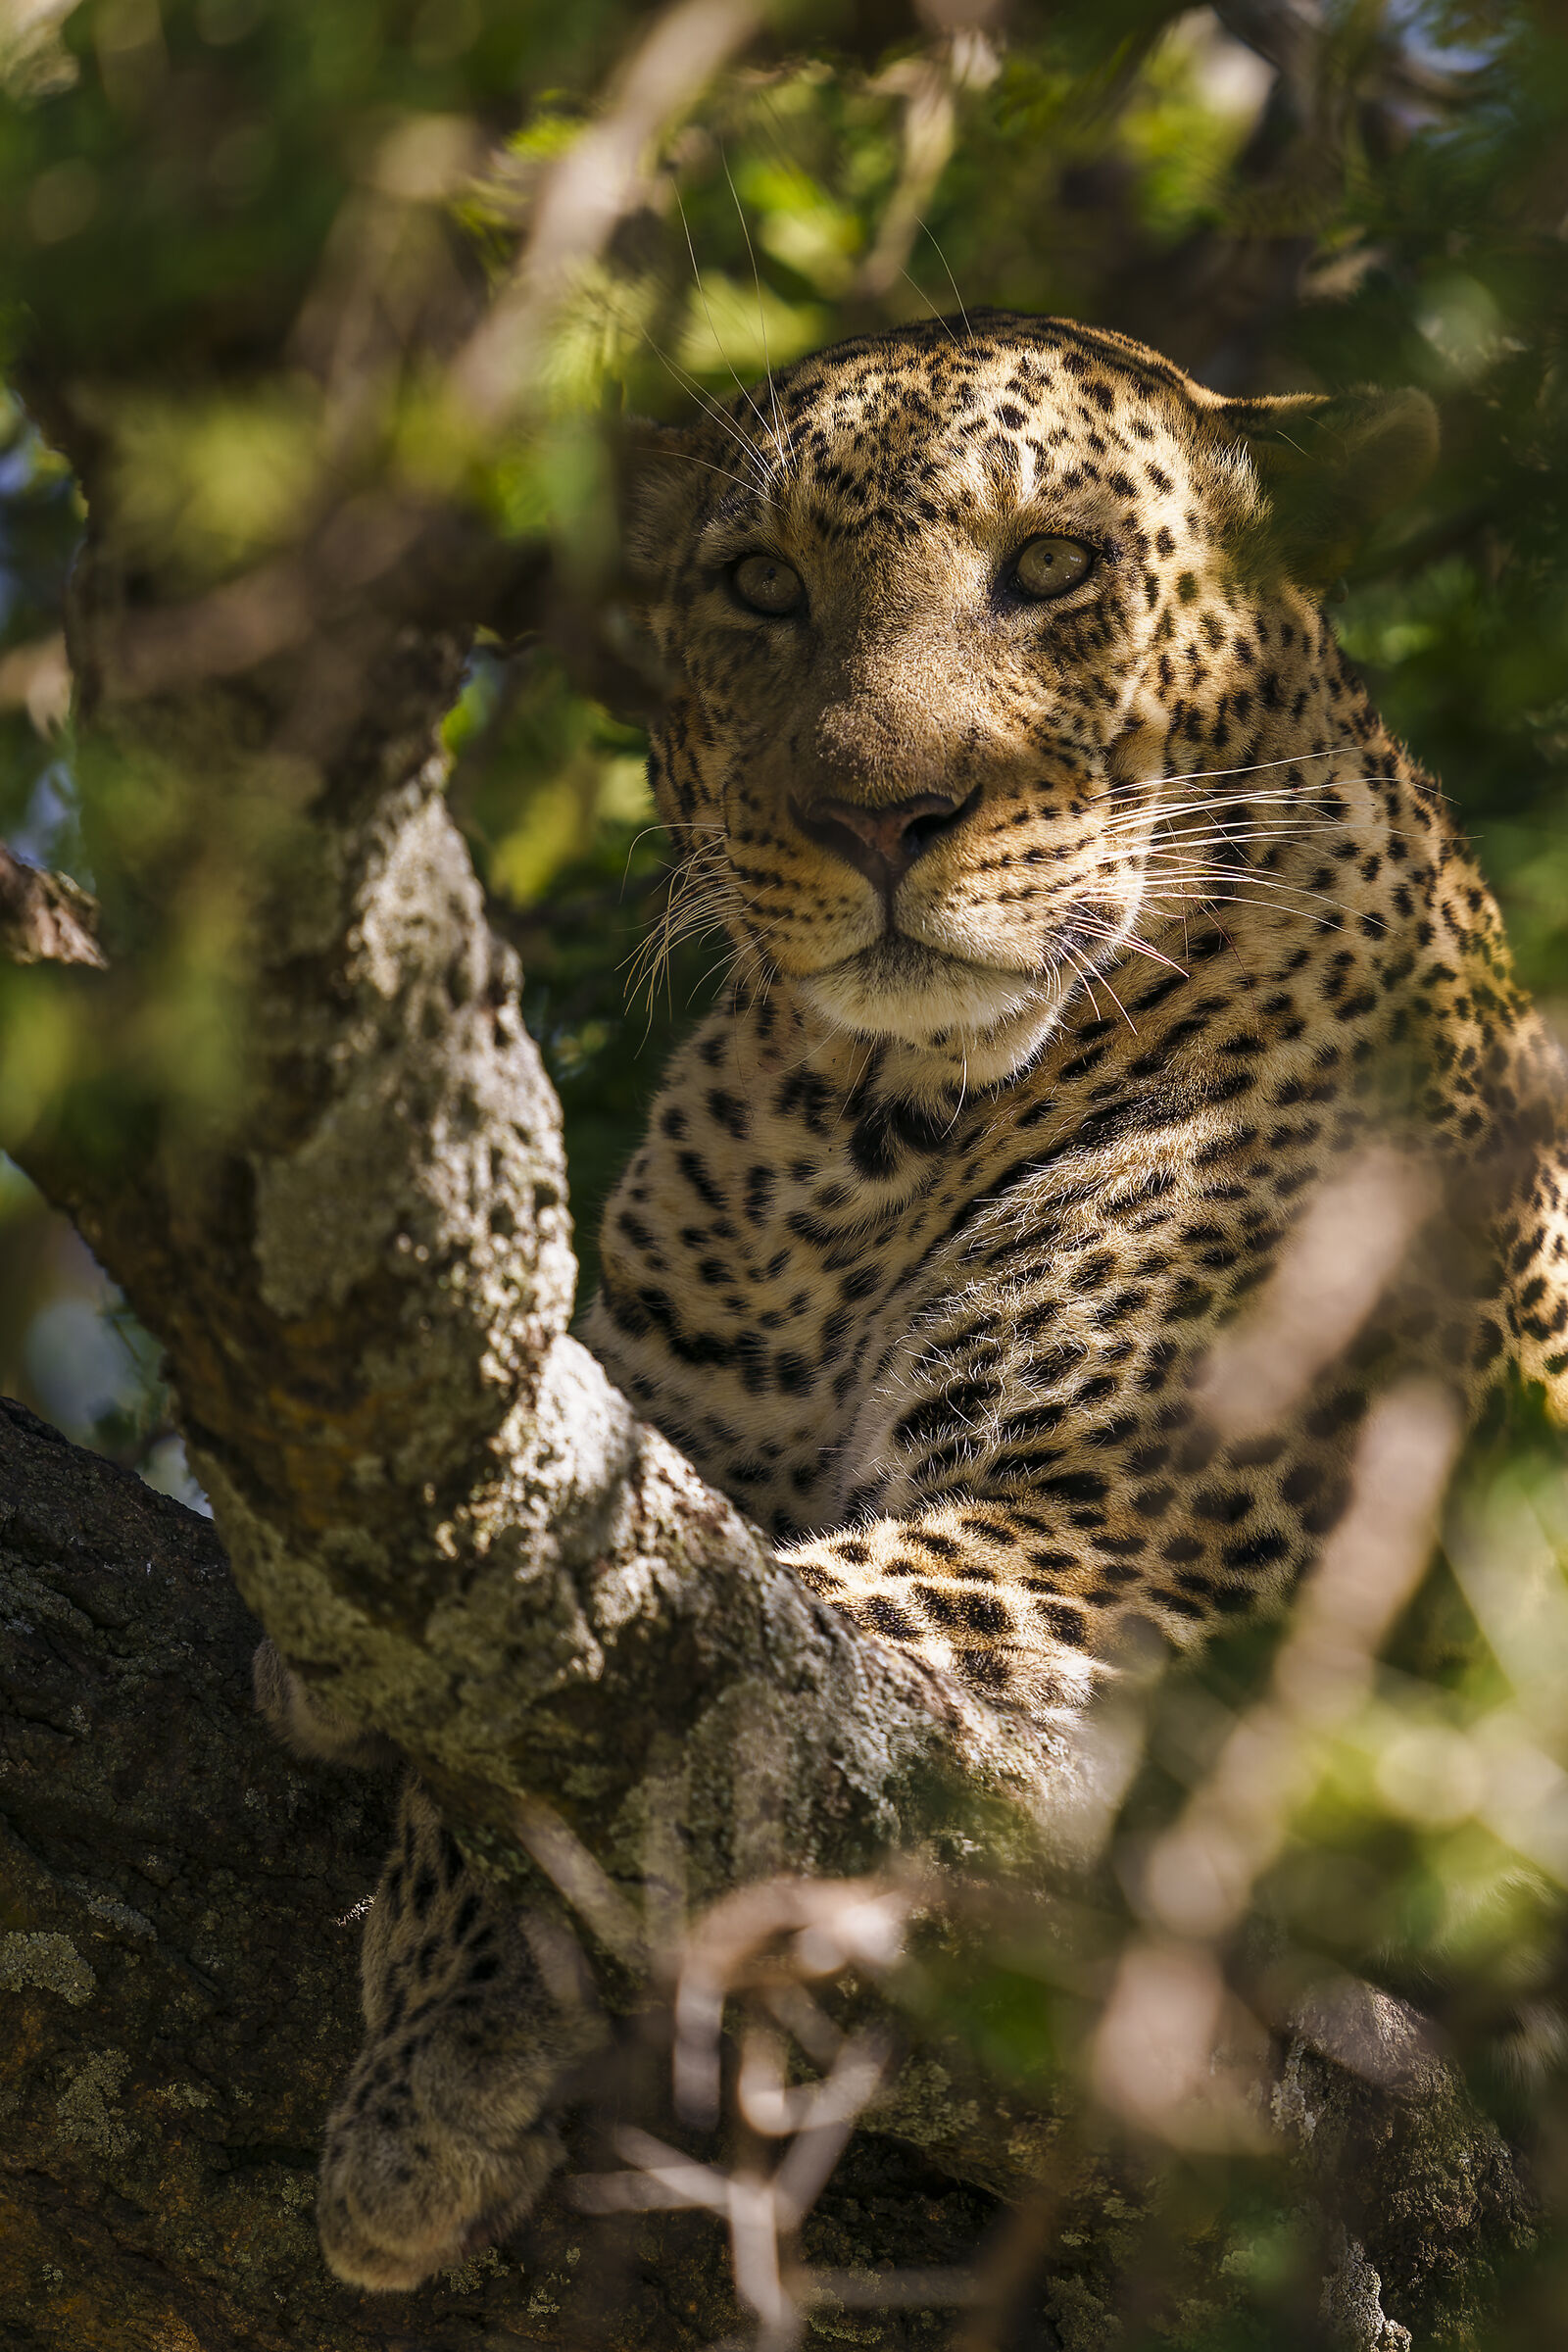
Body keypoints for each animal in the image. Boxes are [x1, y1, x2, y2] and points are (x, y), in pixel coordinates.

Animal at [270, 312, 1568, 2291]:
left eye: (1054, 567)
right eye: (759, 585)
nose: (879, 815)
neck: (867, 1148)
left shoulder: (1126, 1533)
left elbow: (737, 1672)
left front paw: (441, 2027)